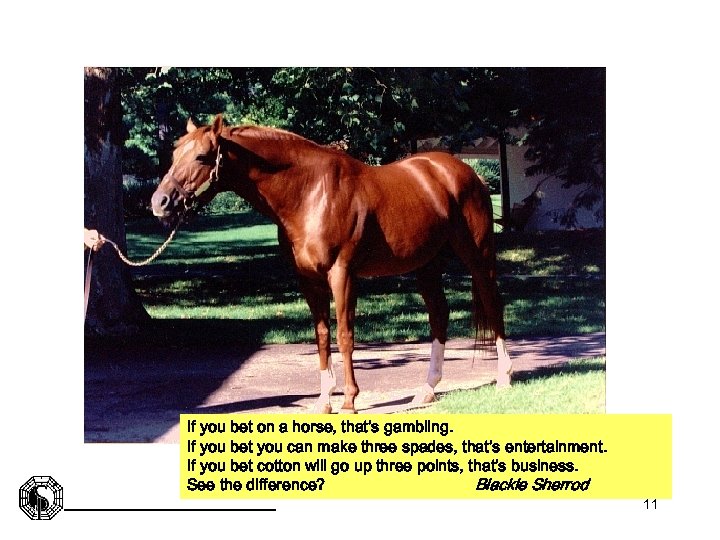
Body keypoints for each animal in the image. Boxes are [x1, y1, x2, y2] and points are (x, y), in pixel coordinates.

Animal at [151, 114, 512, 413]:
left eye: (201, 156)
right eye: (174, 154)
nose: (160, 202)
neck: (311, 193)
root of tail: (463, 172)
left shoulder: (343, 274)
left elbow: (344, 335)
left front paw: (349, 401)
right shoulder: (308, 279)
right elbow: (323, 335)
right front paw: (324, 401)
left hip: (477, 256)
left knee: (492, 304)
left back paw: (504, 377)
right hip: (426, 265)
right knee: (439, 314)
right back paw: (426, 390)